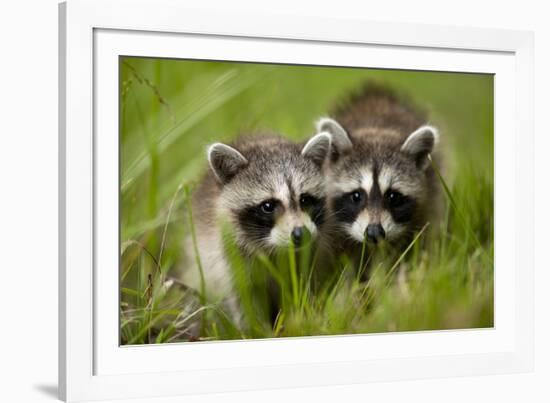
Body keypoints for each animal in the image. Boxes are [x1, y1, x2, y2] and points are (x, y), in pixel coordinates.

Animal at [183, 133, 334, 326]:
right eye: (268, 206)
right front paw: (256, 329)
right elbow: (245, 300)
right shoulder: (229, 257)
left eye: (305, 200)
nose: (301, 234)